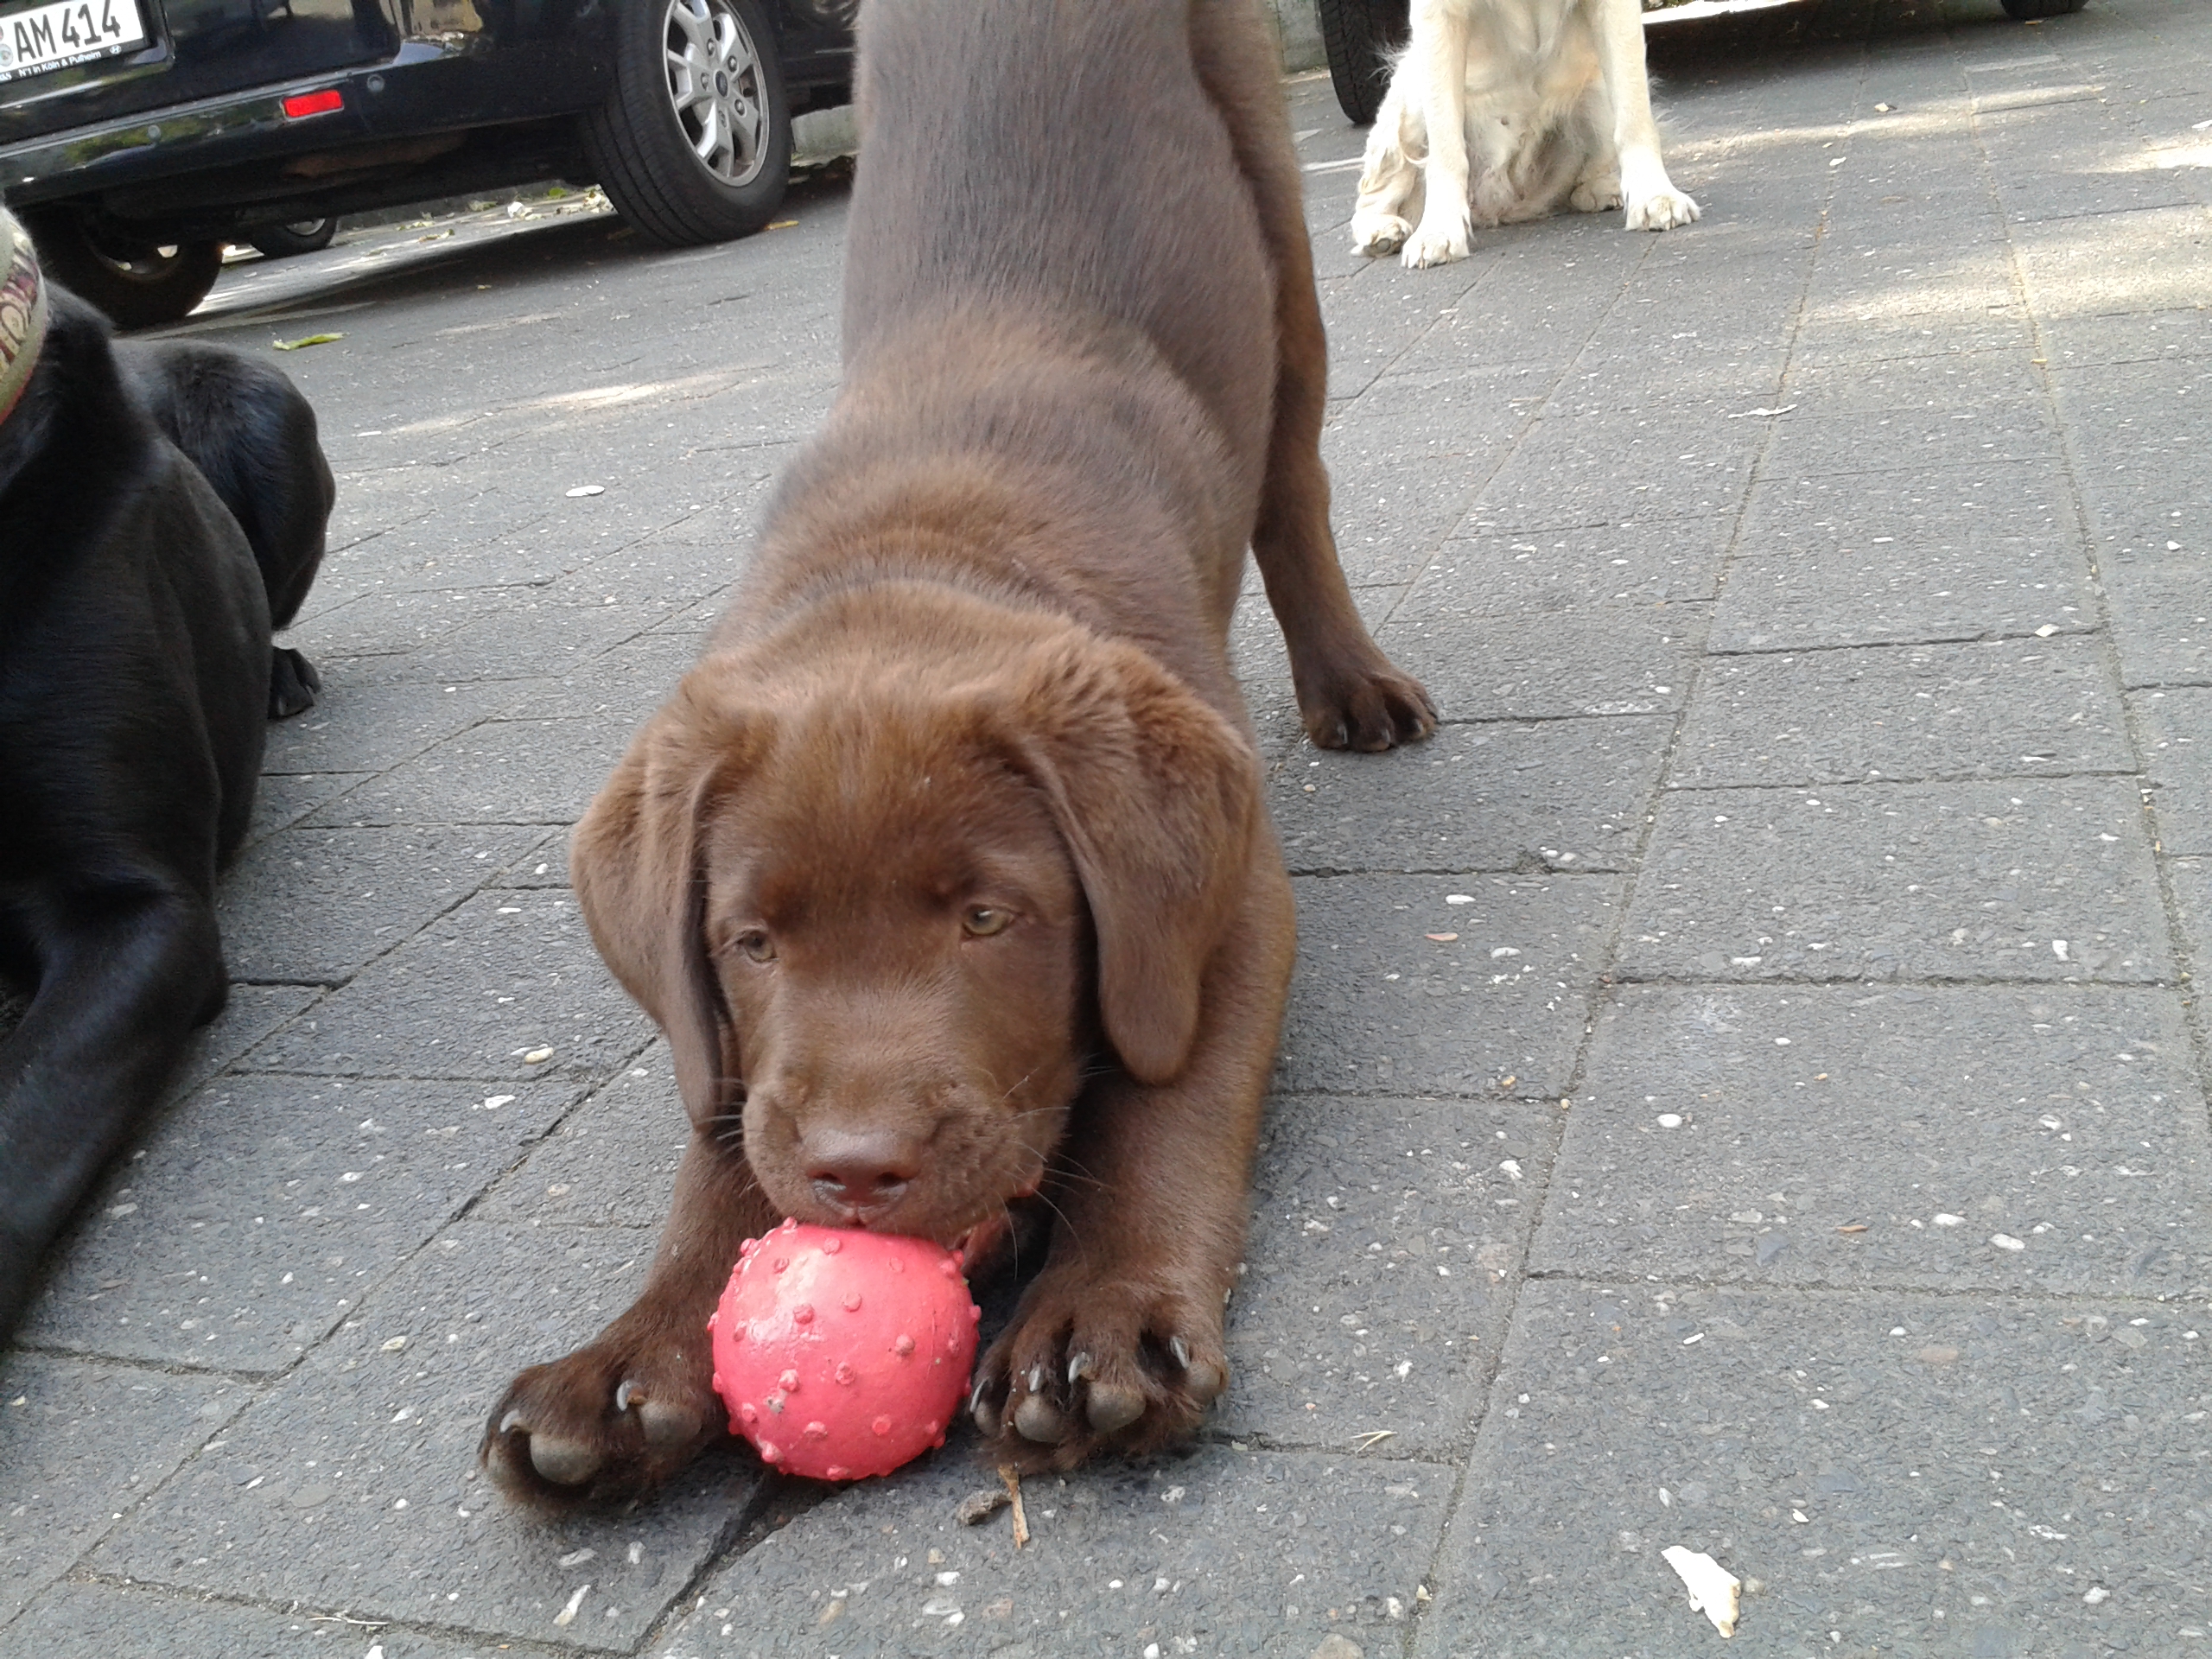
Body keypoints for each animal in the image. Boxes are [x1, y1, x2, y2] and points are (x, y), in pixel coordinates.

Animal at [480, 0, 1433, 1513]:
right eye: (752, 944)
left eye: (990, 919)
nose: (860, 1175)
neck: (921, 542)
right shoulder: (730, 1041)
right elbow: (722, 1129)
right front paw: (632, 1354)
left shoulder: (1224, 908)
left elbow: (1164, 1097)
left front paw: (1104, 1317)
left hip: (1274, 212)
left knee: (1294, 488)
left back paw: (1354, 684)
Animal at [1336, 0, 1699, 267]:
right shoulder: (1437, 17)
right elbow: (1445, 150)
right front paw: (1438, 231)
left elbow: (1635, 118)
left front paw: (1654, 197)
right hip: (1411, 94)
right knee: (1373, 196)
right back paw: (1383, 232)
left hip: (1596, 94)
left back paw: (1601, 190)